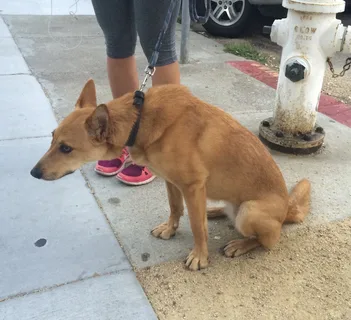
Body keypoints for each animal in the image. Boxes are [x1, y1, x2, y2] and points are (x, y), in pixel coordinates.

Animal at [30, 79, 310, 270]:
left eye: (66, 148)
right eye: (52, 138)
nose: (33, 173)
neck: (138, 121)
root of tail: (287, 208)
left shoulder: (192, 186)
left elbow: (197, 226)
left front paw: (199, 256)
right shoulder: (173, 183)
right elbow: (176, 208)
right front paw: (170, 228)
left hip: (249, 212)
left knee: (268, 239)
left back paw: (241, 244)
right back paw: (216, 211)